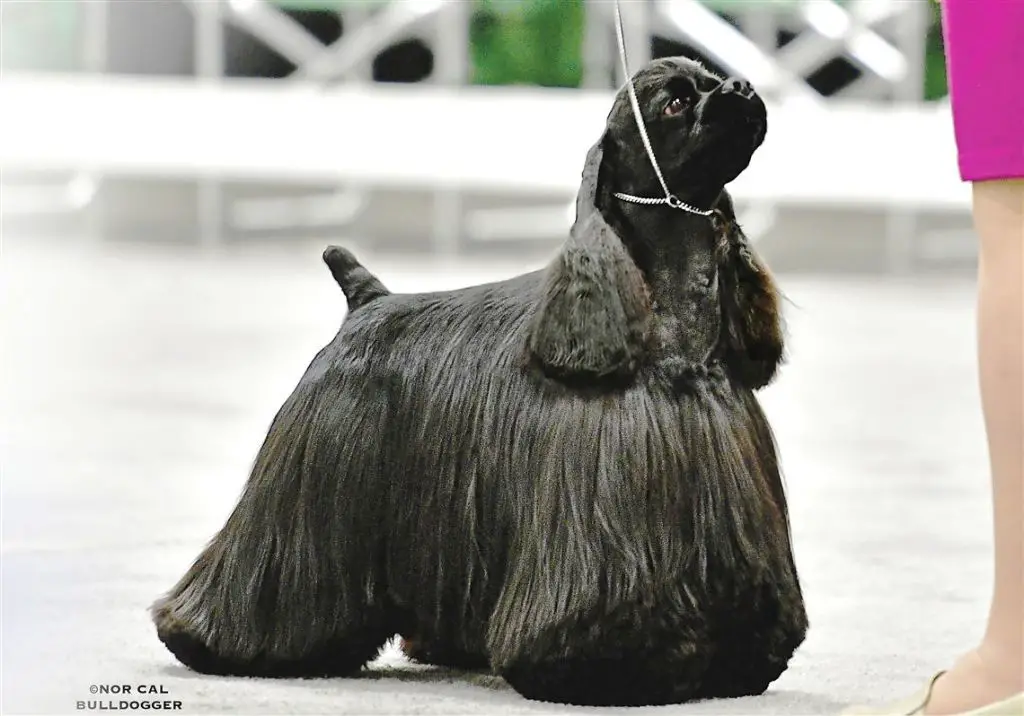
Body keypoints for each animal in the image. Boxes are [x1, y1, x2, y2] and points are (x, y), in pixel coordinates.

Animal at [151, 56, 806, 704]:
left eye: (712, 77)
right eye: (675, 102)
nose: (744, 86)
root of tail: (366, 300)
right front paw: (613, 670)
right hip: (308, 484)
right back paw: (214, 640)